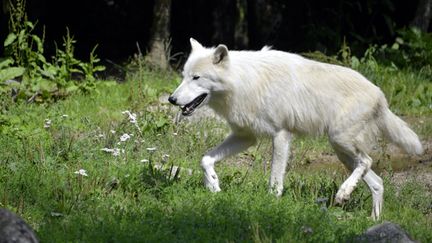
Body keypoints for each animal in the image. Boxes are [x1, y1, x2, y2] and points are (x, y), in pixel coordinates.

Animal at [168, 38, 422, 220]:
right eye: (183, 76)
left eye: (196, 77)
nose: (171, 99)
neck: (245, 81)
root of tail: (381, 96)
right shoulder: (246, 137)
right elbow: (205, 159)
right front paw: (213, 184)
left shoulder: (280, 135)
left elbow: (275, 181)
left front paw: (270, 205)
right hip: (342, 152)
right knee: (377, 181)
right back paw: (372, 219)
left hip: (340, 141)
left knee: (367, 161)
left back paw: (343, 193)